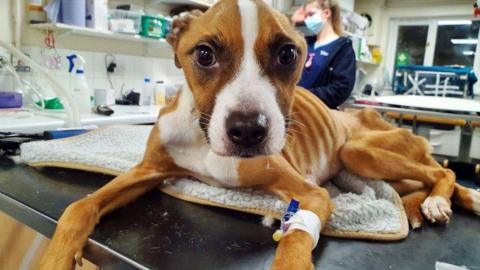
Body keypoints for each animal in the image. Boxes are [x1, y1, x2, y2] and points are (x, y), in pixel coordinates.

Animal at [41, 1, 480, 268]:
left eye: (288, 53)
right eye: (204, 54)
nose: (249, 131)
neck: (204, 140)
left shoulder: (310, 193)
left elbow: (295, 240)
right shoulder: (146, 171)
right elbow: (80, 206)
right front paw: (57, 257)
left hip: (360, 151)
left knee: (443, 171)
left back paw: (441, 202)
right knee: (424, 181)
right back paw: (428, 206)